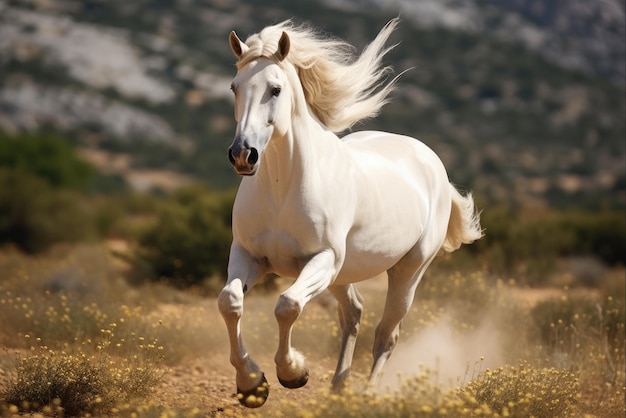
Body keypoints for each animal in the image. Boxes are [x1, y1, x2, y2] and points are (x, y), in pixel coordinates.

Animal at [217, 19, 480, 408]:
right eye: (235, 87)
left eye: (275, 89)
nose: (242, 155)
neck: (282, 186)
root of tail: (431, 162)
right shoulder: (248, 255)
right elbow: (231, 302)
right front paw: (251, 384)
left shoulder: (322, 259)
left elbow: (287, 305)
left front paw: (292, 373)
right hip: (343, 274)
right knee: (353, 314)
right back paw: (338, 387)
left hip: (407, 271)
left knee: (386, 333)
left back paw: (368, 395)